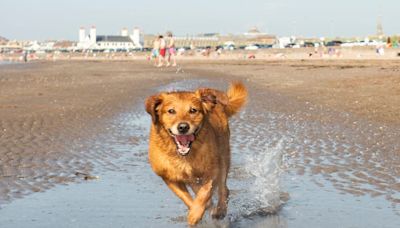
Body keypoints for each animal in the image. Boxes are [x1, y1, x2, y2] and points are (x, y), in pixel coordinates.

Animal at [145, 81, 247, 224]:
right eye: (171, 111)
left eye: (193, 110)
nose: (183, 127)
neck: (185, 156)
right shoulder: (169, 177)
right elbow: (186, 197)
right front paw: (195, 211)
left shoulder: (212, 171)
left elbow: (204, 193)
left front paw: (196, 213)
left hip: (223, 155)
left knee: (224, 189)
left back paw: (220, 210)